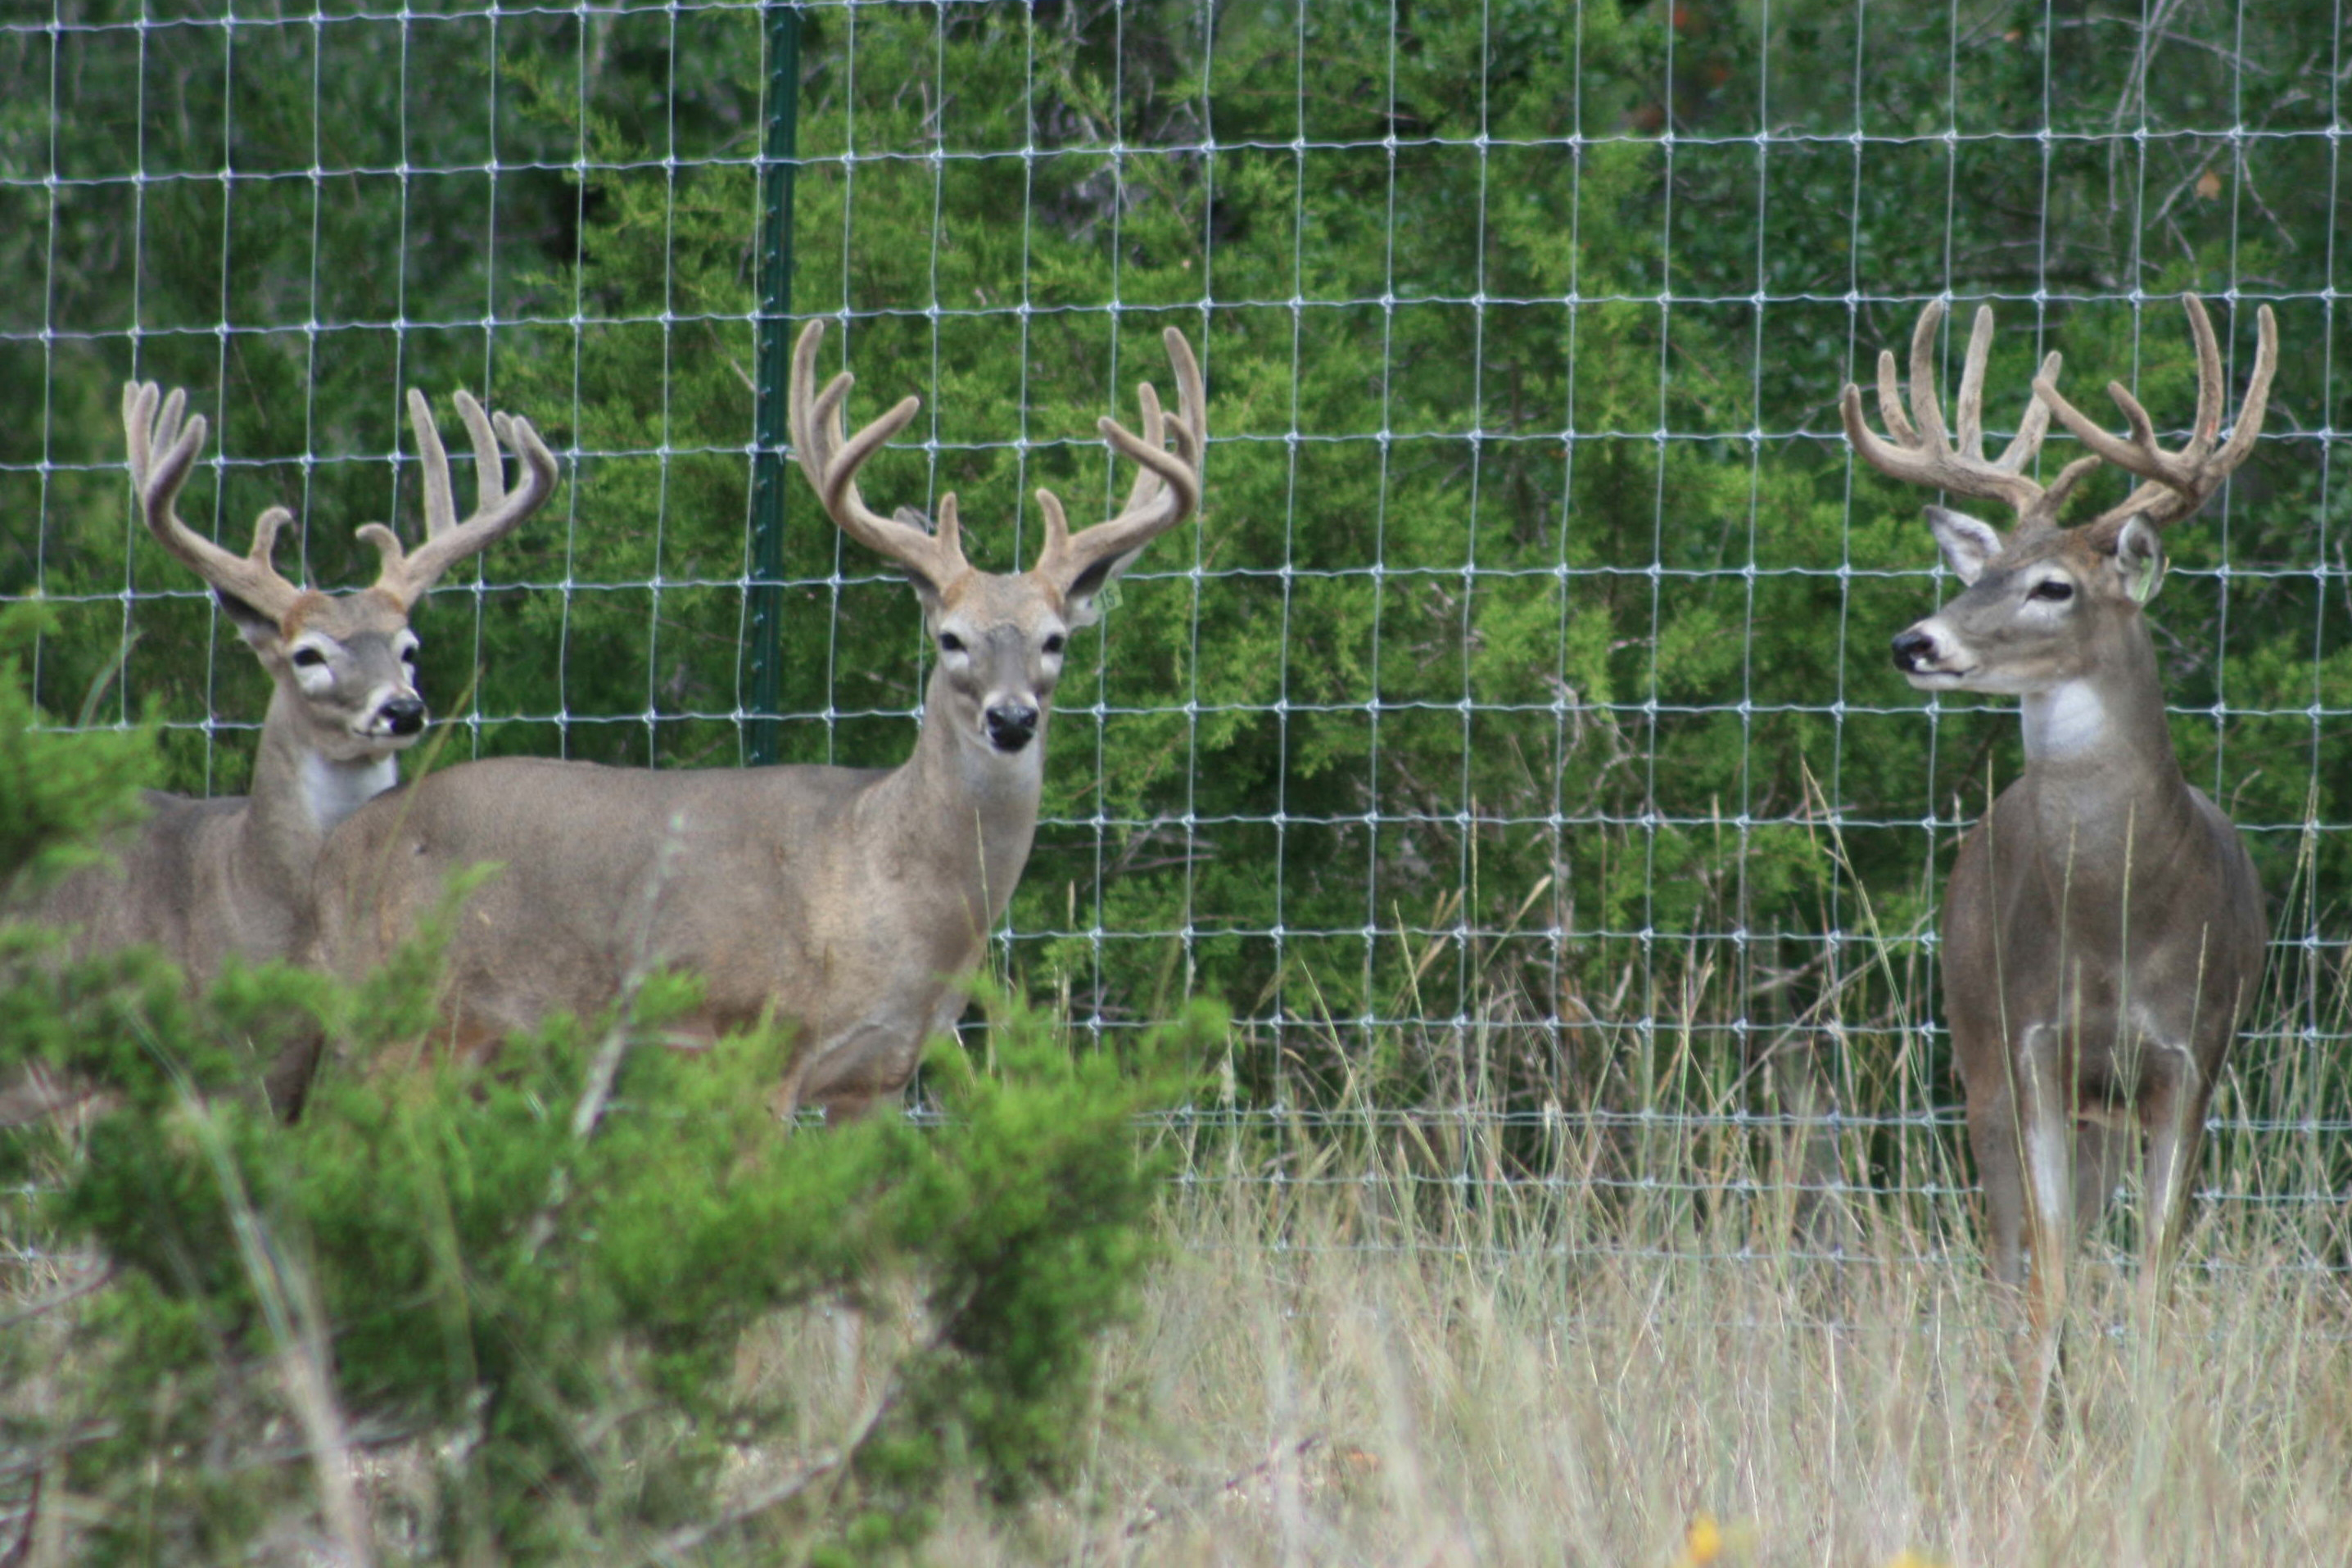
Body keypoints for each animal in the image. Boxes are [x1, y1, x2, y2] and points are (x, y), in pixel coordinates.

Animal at [289, 324, 1213, 1123]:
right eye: (950, 637)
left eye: (1056, 639)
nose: (1012, 717)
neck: (878, 879)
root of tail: (336, 850)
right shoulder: (755, 1040)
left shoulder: (880, 1075)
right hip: (399, 1025)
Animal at [1843, 291, 2267, 1410]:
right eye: (1977, 572)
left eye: (2051, 587)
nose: (1916, 643)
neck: (2120, 910)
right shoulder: (2032, 1043)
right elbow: (2044, 1275)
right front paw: (2032, 1423)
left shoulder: (2189, 1056)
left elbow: (2152, 1279)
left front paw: (2147, 1420)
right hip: (1977, 1045)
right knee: (2013, 1254)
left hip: (2103, 1112)